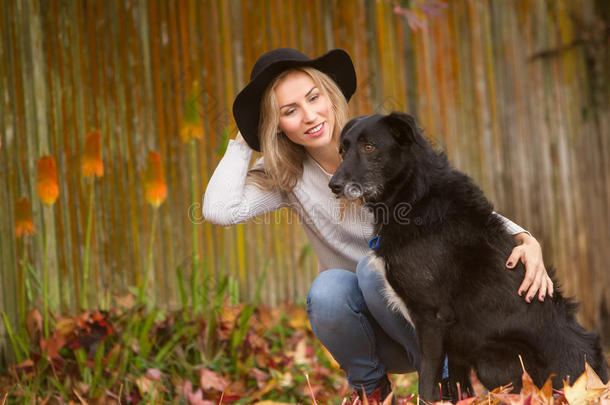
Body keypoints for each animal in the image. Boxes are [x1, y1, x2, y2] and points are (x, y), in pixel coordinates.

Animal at [328, 111, 608, 400]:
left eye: (369, 147)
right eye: (343, 150)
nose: (333, 185)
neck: (413, 197)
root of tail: (596, 382)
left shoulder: (432, 318)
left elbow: (427, 380)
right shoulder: (453, 341)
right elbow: (455, 383)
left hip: (494, 358)